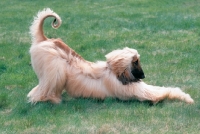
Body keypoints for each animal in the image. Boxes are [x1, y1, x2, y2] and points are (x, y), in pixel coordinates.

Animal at [27, 8, 195, 104]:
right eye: (136, 62)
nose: (144, 76)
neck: (115, 73)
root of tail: (45, 39)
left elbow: (162, 89)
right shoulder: (136, 91)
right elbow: (163, 93)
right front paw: (187, 98)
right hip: (54, 67)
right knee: (44, 89)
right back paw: (48, 99)